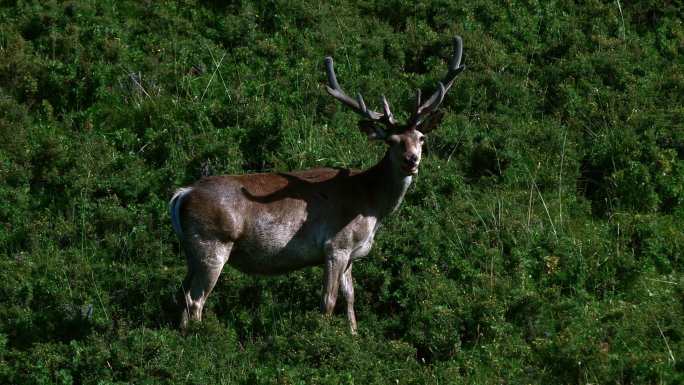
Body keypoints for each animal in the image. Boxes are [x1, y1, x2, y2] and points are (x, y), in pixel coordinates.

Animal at [170, 37, 464, 334]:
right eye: (391, 141)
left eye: (421, 137)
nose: (411, 160)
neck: (371, 203)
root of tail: (183, 194)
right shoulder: (336, 244)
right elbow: (328, 301)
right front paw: (324, 338)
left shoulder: (351, 254)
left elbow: (350, 297)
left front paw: (354, 335)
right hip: (213, 243)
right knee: (196, 299)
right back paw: (201, 336)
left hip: (193, 251)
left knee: (181, 294)